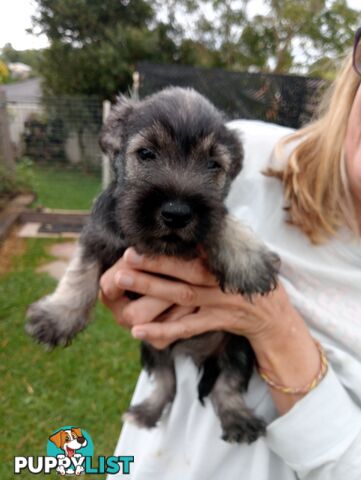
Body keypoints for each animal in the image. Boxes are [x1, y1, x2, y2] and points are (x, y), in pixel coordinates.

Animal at [26, 86, 278, 442]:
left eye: (213, 164)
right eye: (146, 153)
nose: (177, 213)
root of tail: (197, 353)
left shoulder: (210, 216)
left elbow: (220, 220)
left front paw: (248, 259)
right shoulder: (97, 237)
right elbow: (79, 274)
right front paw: (57, 317)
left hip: (238, 345)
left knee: (226, 387)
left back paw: (238, 419)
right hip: (153, 345)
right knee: (167, 383)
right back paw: (146, 412)